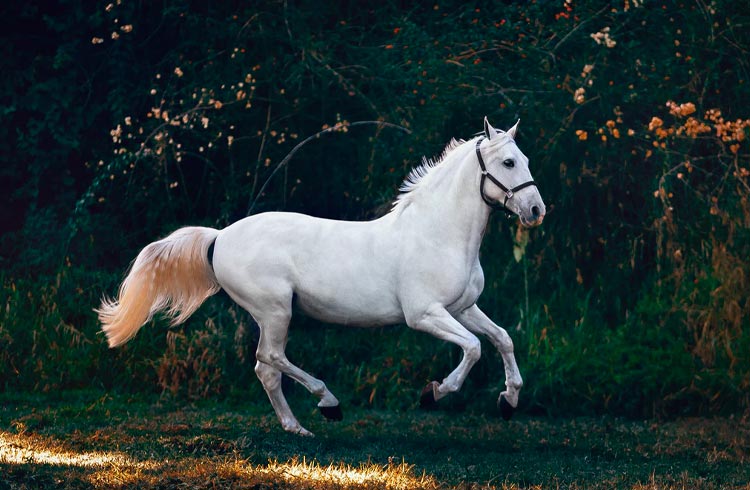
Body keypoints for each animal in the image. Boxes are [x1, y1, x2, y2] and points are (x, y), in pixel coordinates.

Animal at [100, 118, 548, 436]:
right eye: (508, 162)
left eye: (526, 161)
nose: (536, 210)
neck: (437, 233)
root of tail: (220, 237)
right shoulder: (425, 314)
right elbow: (473, 348)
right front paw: (434, 393)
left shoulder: (463, 307)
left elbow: (502, 339)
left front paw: (508, 401)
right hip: (275, 311)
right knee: (270, 359)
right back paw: (328, 403)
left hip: (275, 314)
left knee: (266, 369)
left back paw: (297, 428)